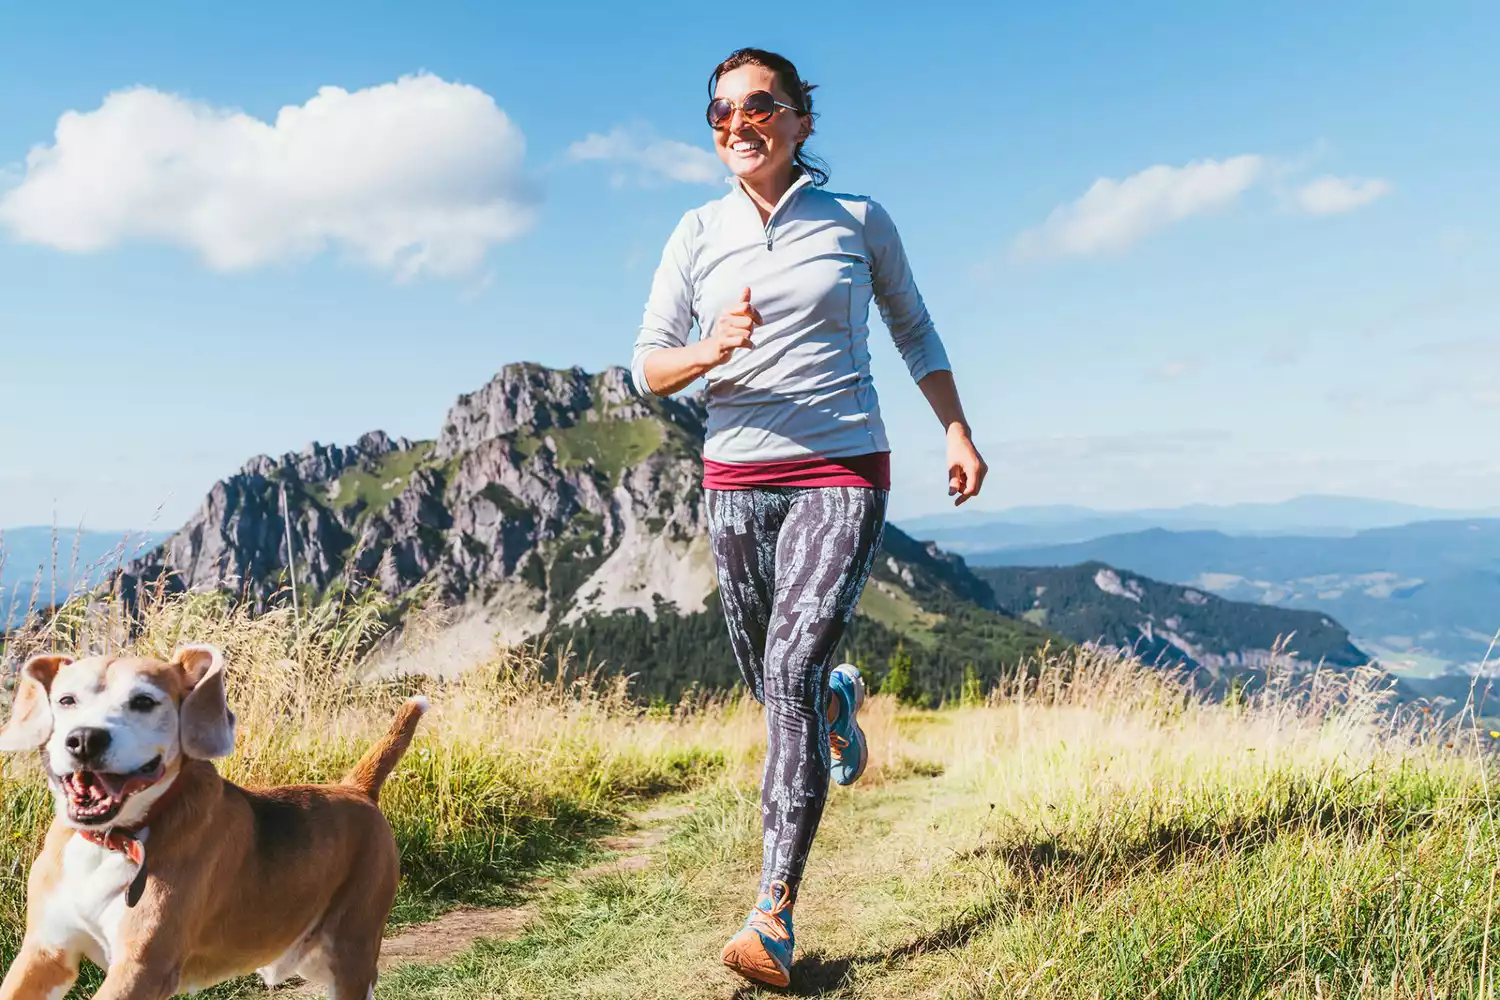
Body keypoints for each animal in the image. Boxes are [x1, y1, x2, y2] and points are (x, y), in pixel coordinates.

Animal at [0, 644, 429, 995]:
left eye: (143, 701)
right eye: (66, 700)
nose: (85, 739)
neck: (114, 840)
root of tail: (356, 788)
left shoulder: (142, 969)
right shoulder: (44, 955)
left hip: (350, 951)